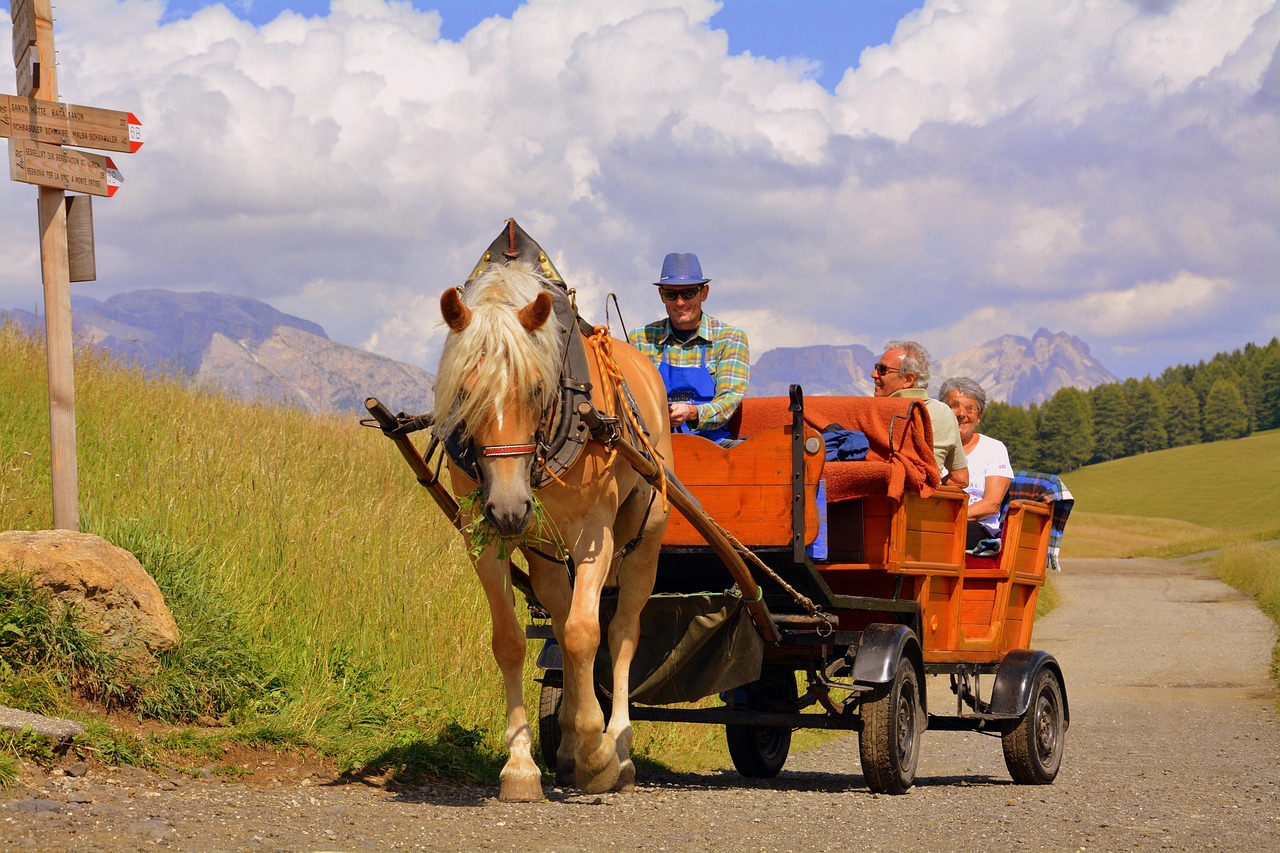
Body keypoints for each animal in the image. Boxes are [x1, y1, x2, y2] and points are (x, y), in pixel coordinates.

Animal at [432, 258, 675, 799]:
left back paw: (618, 747)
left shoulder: (594, 535)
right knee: (559, 625)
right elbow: (511, 640)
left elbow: (588, 634)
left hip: (645, 532)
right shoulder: (481, 537)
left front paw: (597, 752)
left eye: (537, 389)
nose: (508, 508)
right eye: (464, 393)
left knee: (622, 631)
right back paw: (566, 747)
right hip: (543, 549)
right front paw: (522, 765)